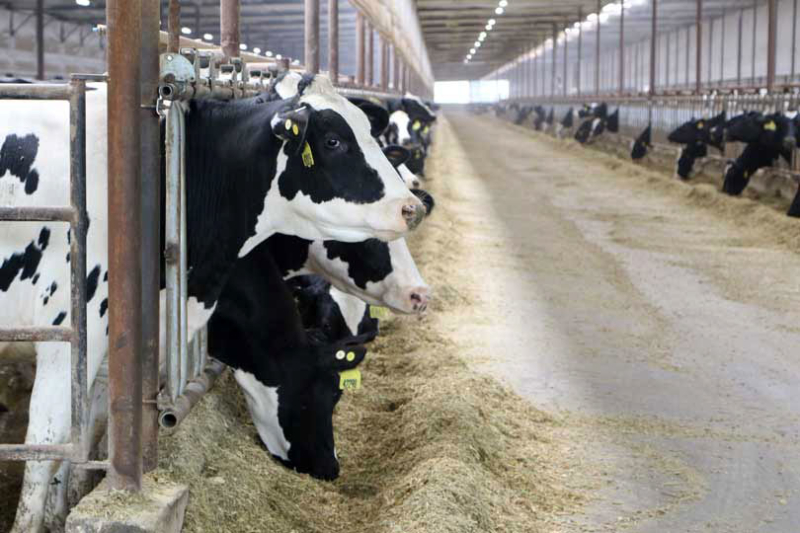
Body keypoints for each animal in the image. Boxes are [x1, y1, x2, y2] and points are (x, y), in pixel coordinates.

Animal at [1, 73, 424, 532]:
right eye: (333, 141)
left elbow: (93, 431)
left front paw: (67, 505)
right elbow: (47, 443)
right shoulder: (70, 335)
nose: (413, 208)